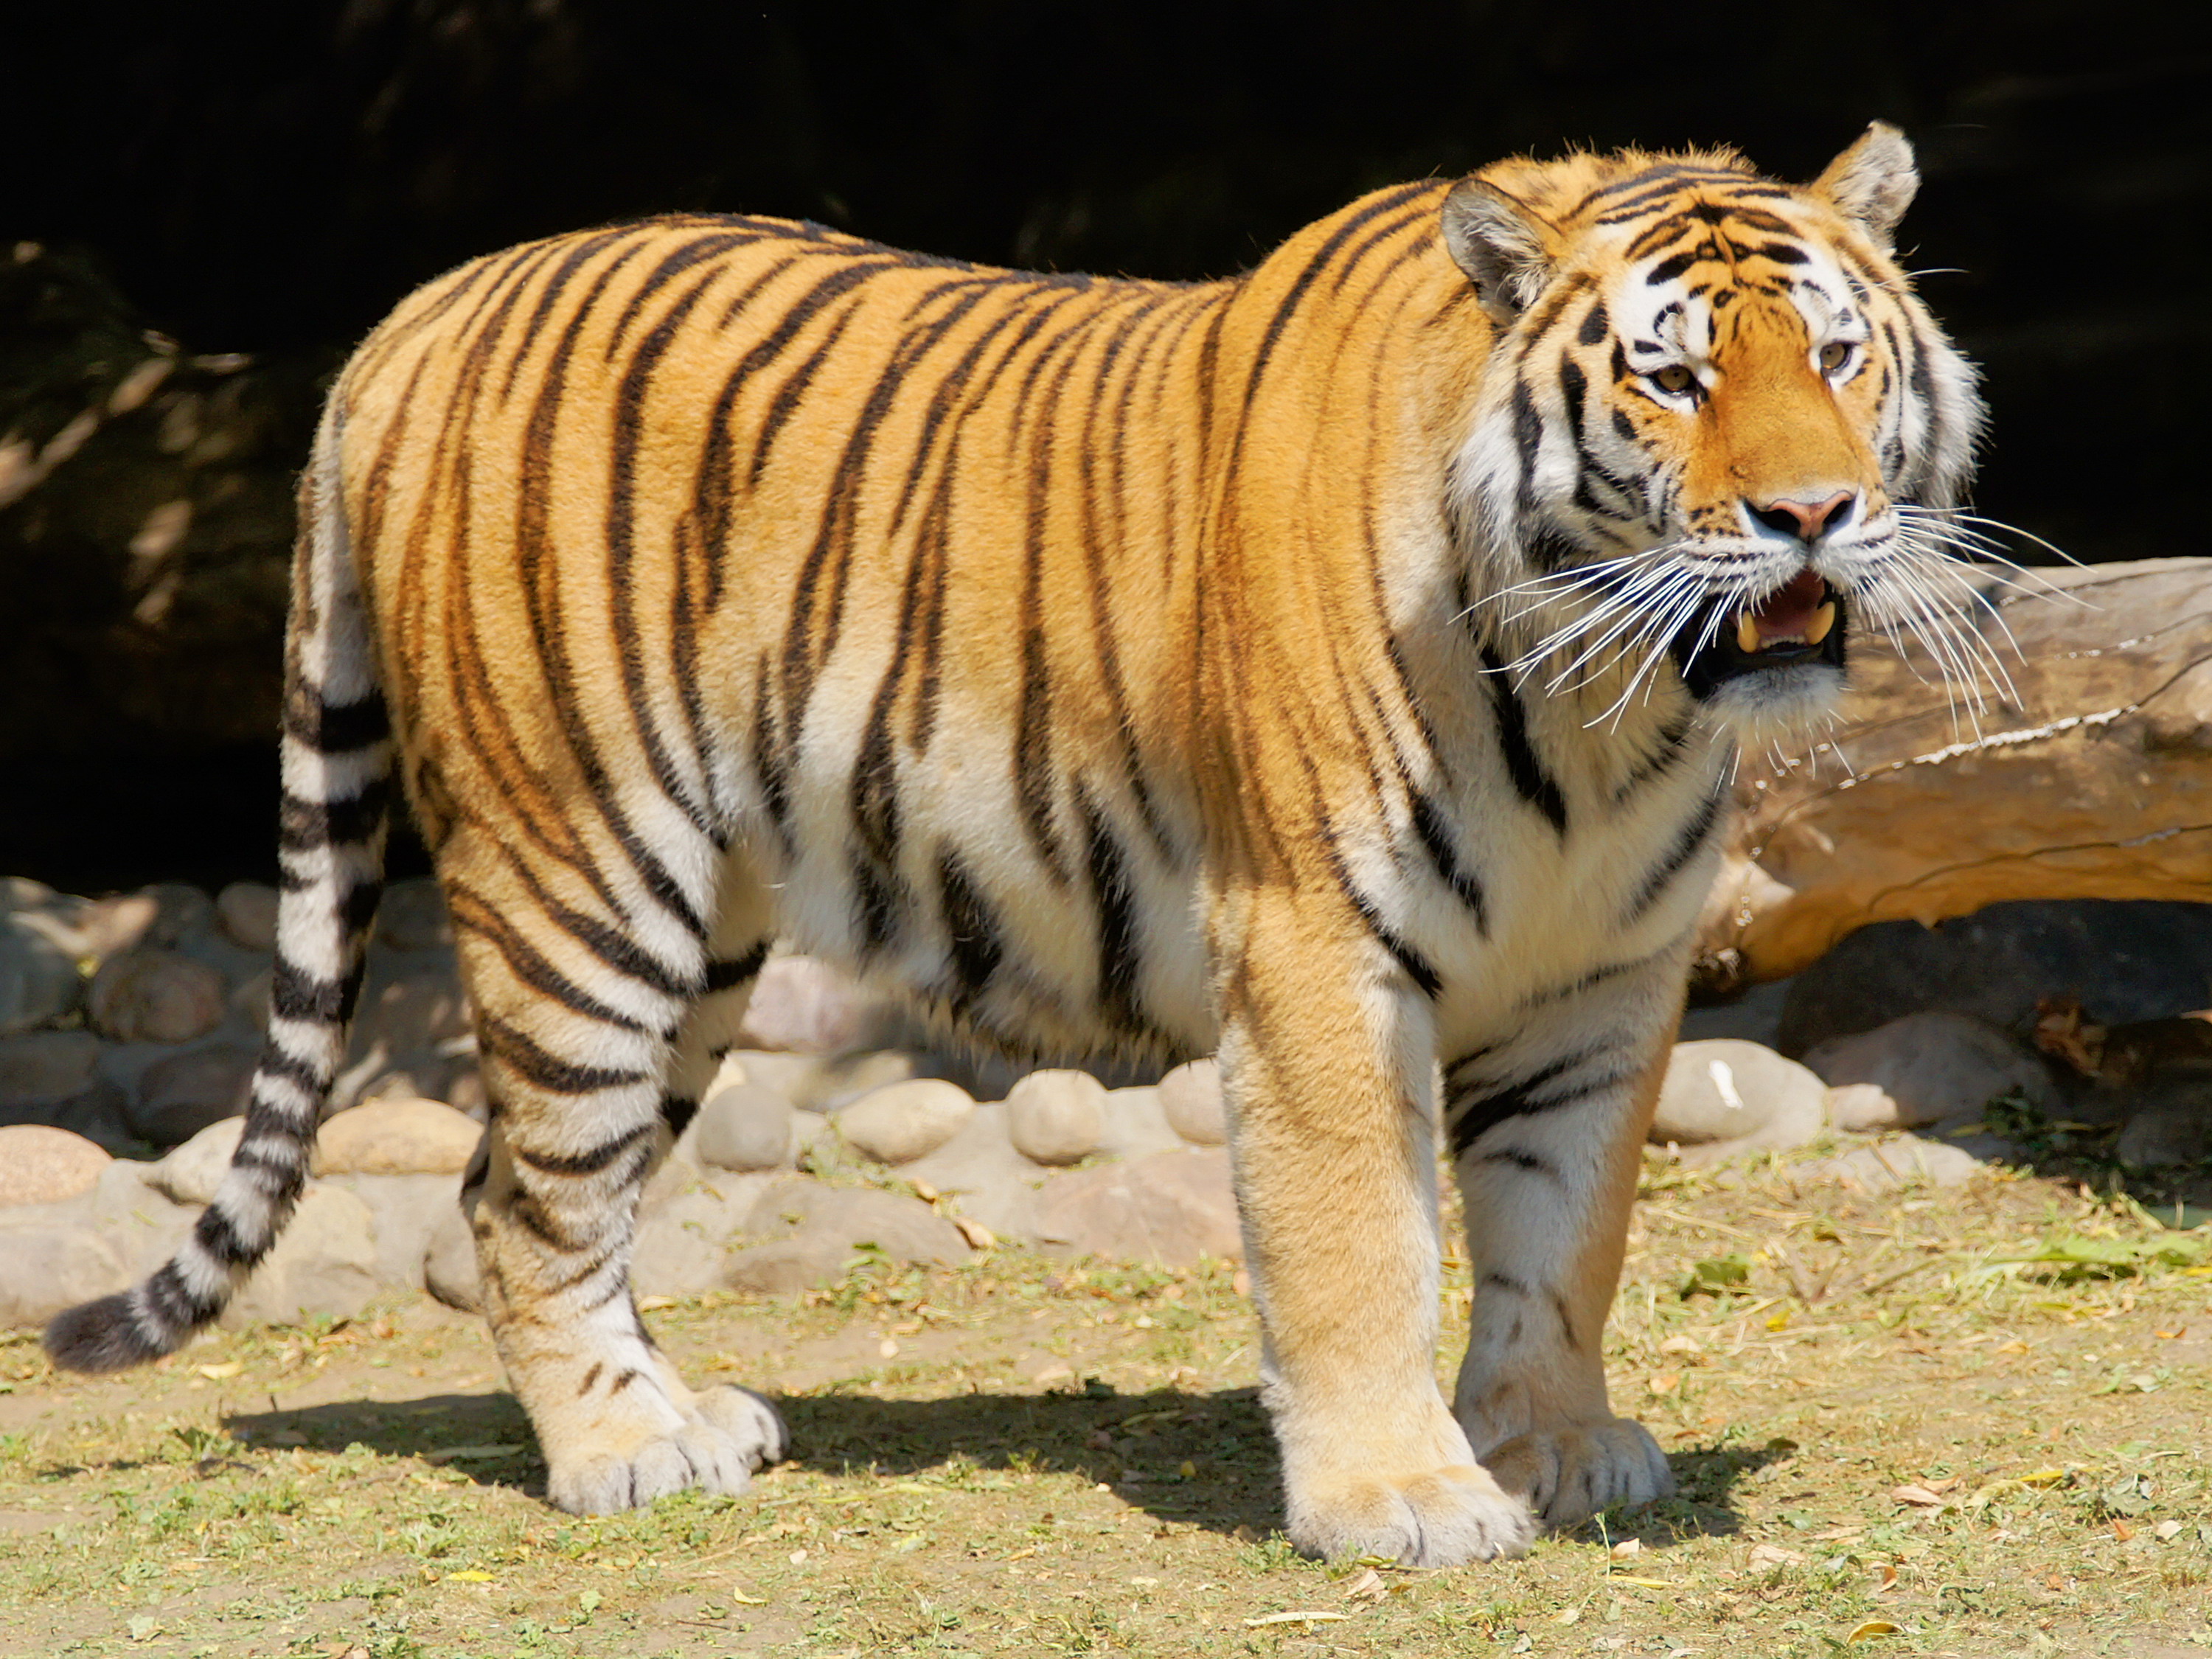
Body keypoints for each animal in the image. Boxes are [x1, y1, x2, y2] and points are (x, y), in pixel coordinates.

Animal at [52, 123, 1991, 1566]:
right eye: (1669, 380)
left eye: (1833, 353)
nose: (1811, 512)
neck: (1610, 705)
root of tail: (418, 311)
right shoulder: (1312, 947)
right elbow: (1359, 1235)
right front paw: (1402, 1497)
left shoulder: (1605, 970)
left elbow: (1564, 1233)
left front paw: (1553, 1447)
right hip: (582, 877)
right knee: (530, 1194)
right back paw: (622, 1454)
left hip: (705, 932)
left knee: (509, 1181)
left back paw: (691, 1417)